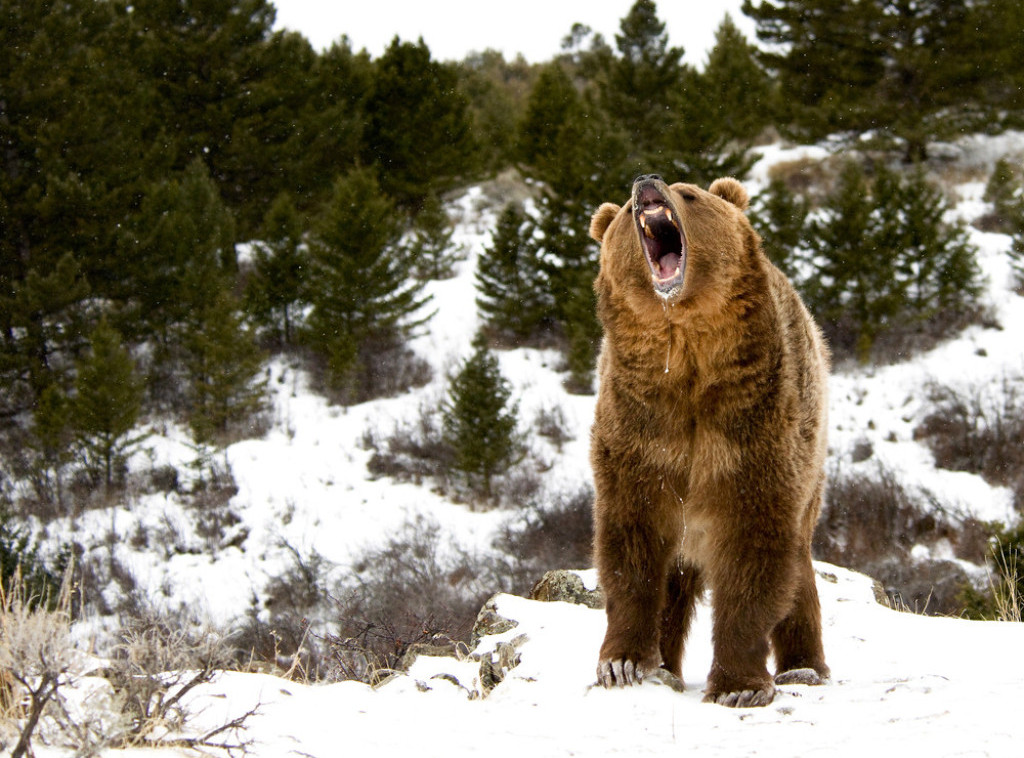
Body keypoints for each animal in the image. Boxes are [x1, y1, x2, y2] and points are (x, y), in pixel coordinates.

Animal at [585, 175, 831, 708]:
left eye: (690, 193)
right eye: (622, 217)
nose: (646, 182)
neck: (686, 352)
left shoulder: (751, 430)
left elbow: (753, 555)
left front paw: (738, 685)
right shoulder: (641, 432)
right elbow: (630, 548)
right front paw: (622, 662)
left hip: (811, 464)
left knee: (798, 571)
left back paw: (804, 668)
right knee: (675, 584)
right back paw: (666, 665)